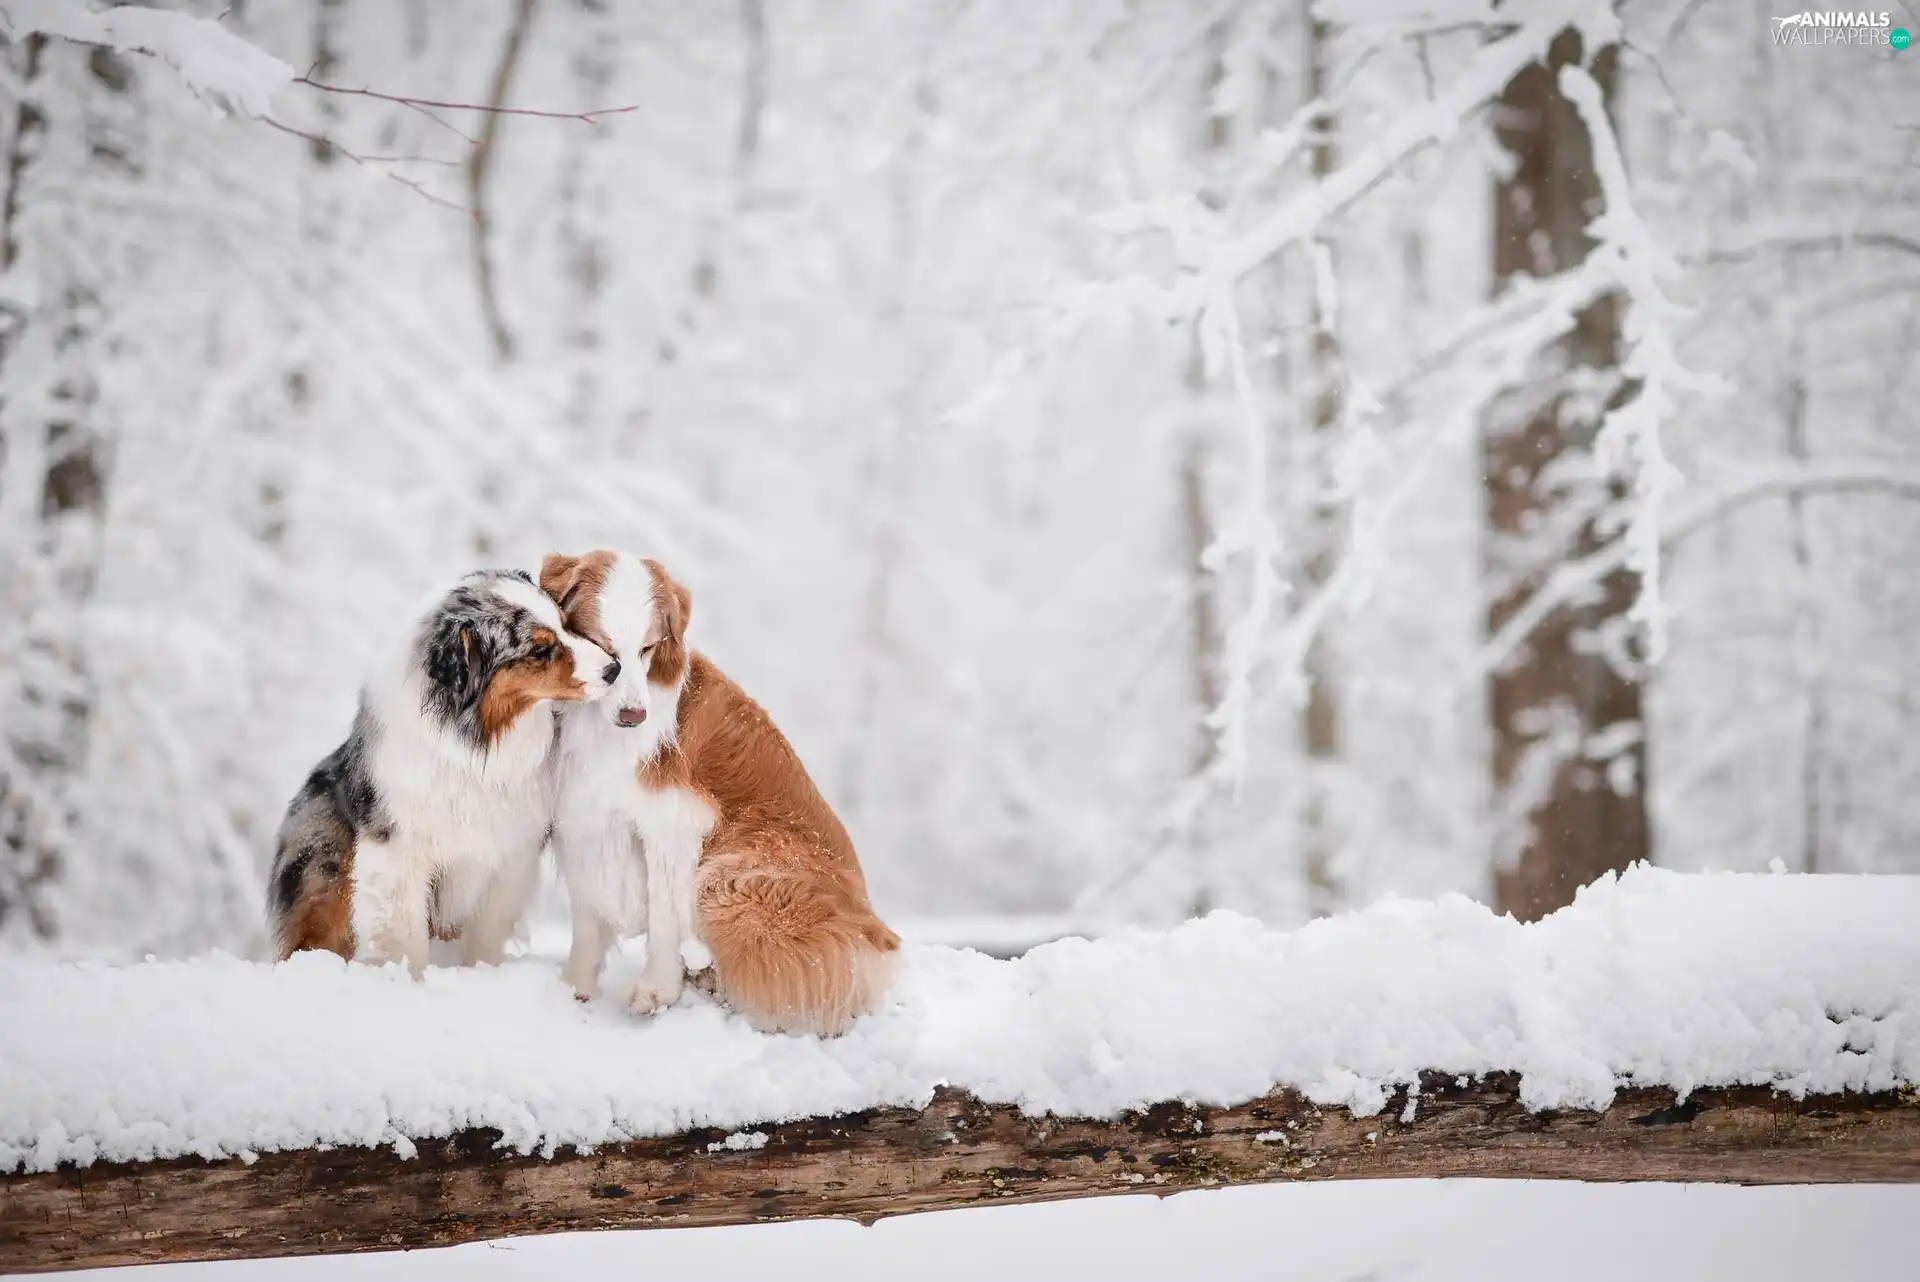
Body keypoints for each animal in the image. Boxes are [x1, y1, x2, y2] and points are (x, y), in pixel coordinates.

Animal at [541, 556, 898, 1036]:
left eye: (648, 648)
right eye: (603, 648)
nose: (634, 716)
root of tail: (881, 936)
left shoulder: (674, 823)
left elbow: (664, 916)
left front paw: (656, 992)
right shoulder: (582, 819)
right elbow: (586, 921)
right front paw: (574, 991)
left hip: (727, 879)